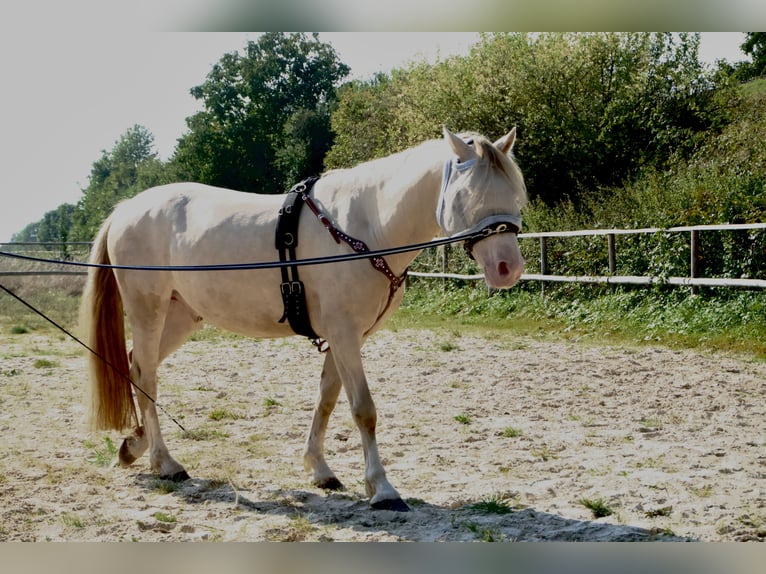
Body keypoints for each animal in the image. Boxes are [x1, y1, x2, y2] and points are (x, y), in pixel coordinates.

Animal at [81, 126, 527, 511]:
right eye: (469, 195)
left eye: (515, 193)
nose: (508, 268)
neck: (364, 225)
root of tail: (126, 209)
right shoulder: (345, 335)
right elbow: (363, 409)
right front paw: (382, 489)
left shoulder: (345, 337)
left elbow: (327, 400)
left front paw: (321, 469)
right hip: (149, 310)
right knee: (146, 375)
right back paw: (166, 462)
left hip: (181, 315)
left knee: (138, 367)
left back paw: (135, 446)